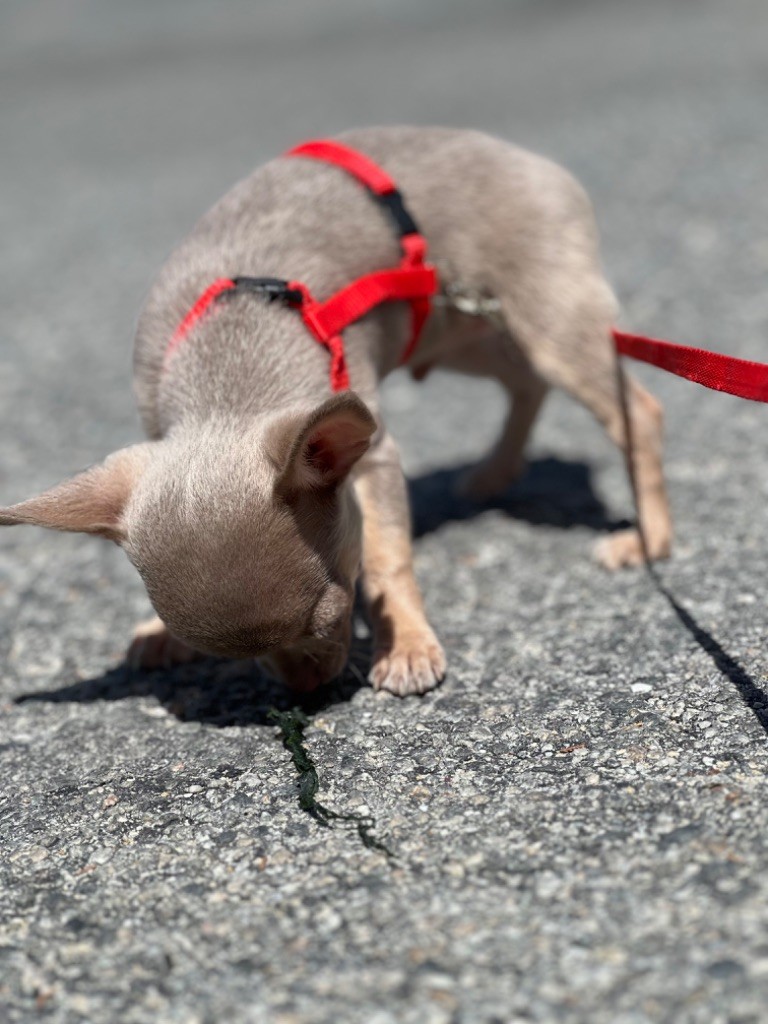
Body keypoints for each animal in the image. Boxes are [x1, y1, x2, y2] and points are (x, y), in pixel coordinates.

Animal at [0, 125, 671, 696]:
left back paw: (649, 539)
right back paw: (494, 472)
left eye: (332, 611)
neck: (232, 359)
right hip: (466, 334)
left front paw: (405, 646)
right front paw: (157, 633)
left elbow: (388, 560)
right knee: (524, 383)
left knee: (634, 409)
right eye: (233, 659)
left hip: (549, 315)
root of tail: (535, 161)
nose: (306, 690)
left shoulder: (374, 457)